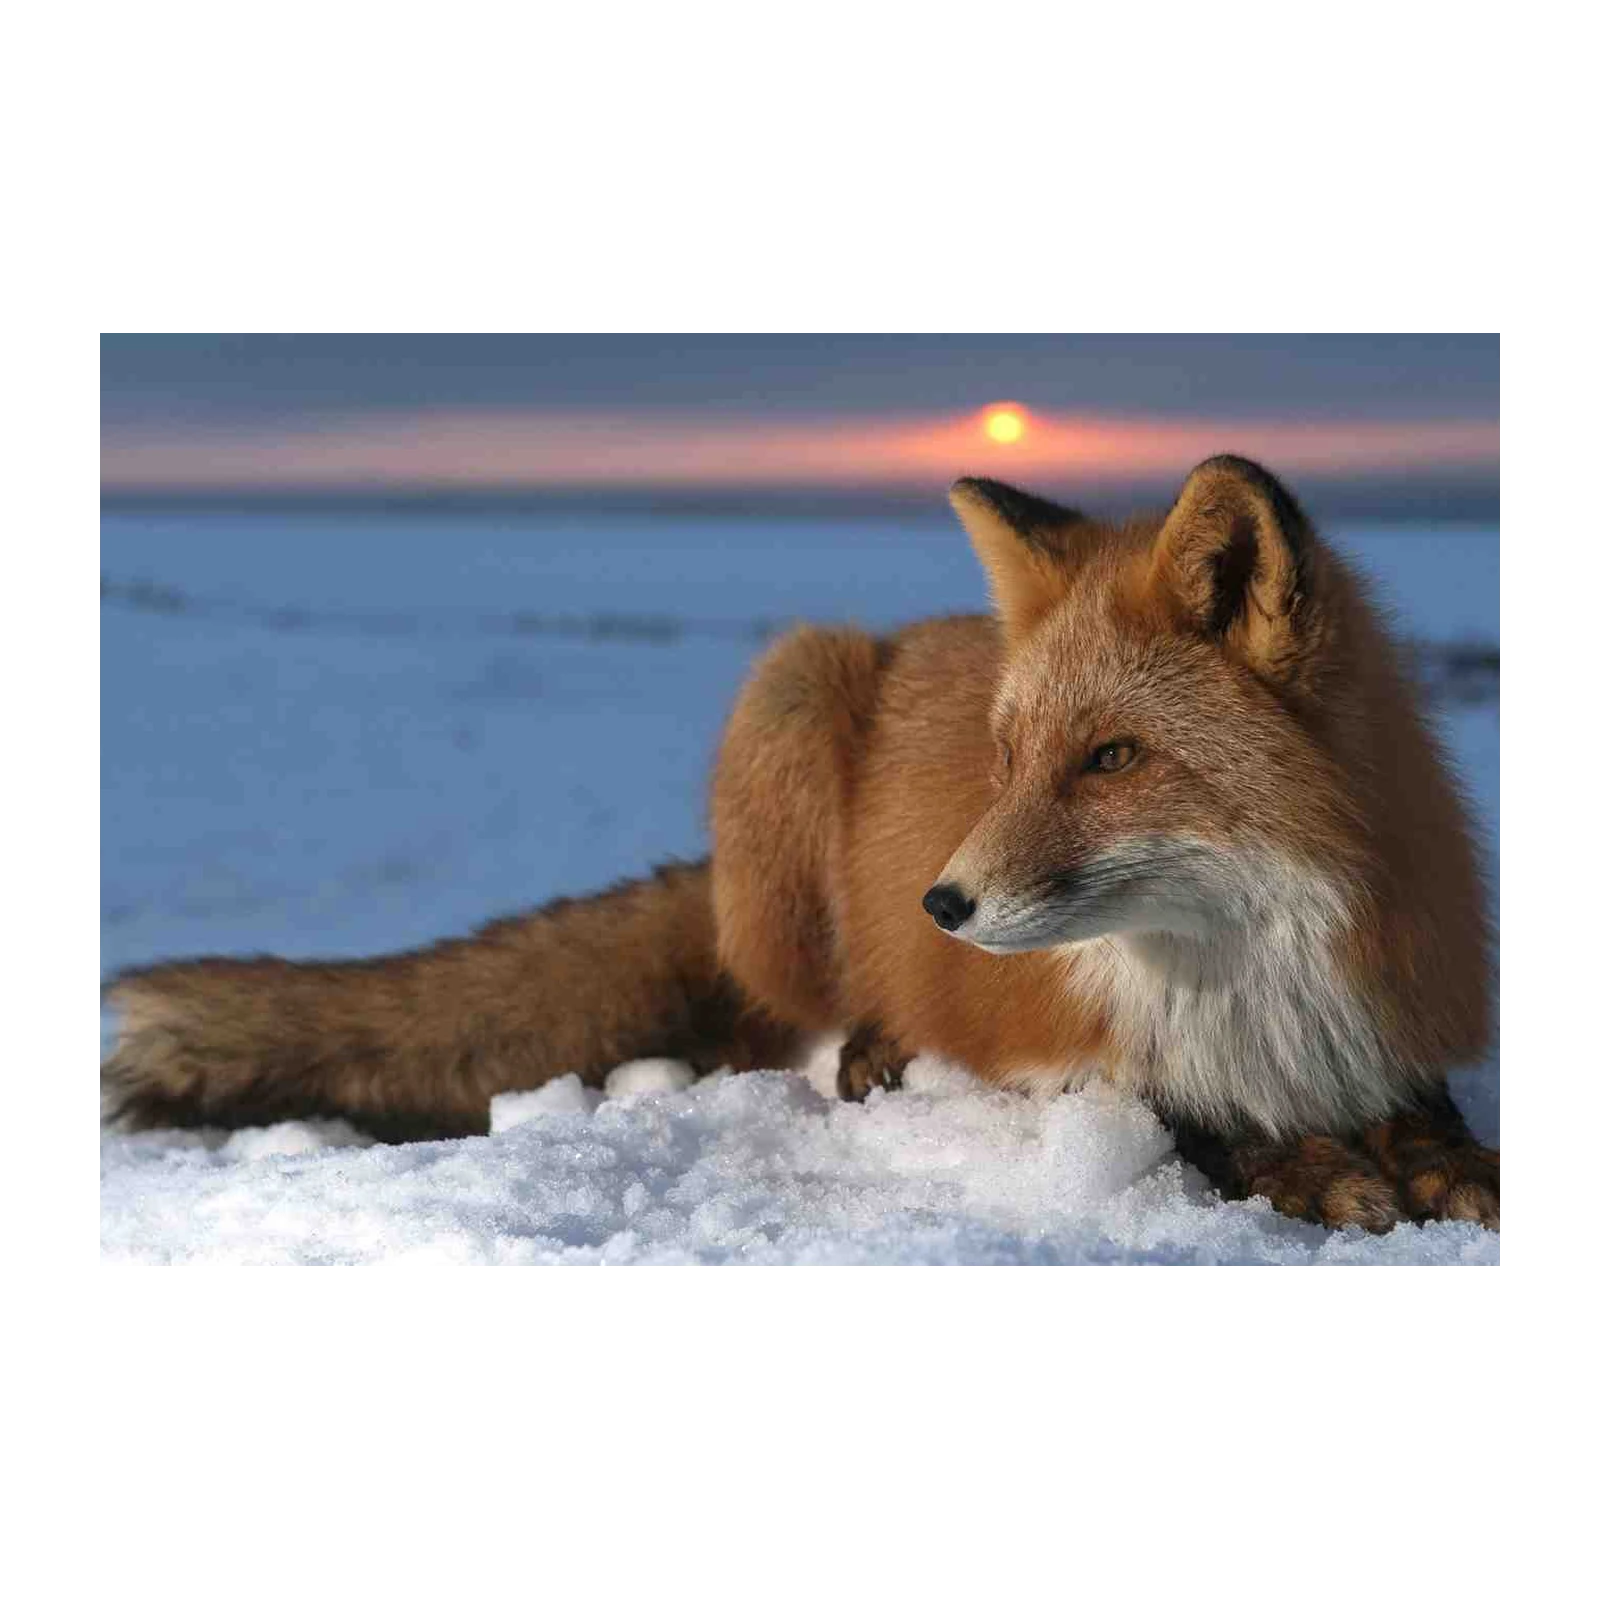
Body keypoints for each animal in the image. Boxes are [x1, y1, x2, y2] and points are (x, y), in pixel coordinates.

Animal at [101, 455, 1502, 1232]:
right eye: (1004, 759)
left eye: (1111, 757)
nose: (942, 904)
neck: (1251, 980)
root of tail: (916, 629)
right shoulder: (1066, 1055)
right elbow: (1193, 1120)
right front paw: (1313, 1170)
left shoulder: (1388, 1016)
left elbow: (1427, 1119)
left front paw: (1443, 1167)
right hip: (789, 692)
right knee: (789, 1016)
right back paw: (872, 1044)